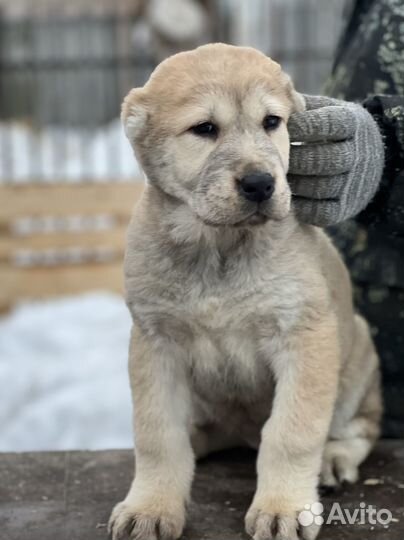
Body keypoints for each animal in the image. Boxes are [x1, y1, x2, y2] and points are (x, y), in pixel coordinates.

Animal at [108, 43, 382, 540]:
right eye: (204, 129)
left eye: (271, 122)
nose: (260, 184)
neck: (218, 246)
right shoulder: (155, 342)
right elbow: (157, 435)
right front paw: (151, 507)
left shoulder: (304, 336)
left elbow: (291, 432)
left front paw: (284, 508)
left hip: (358, 360)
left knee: (359, 428)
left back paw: (333, 459)